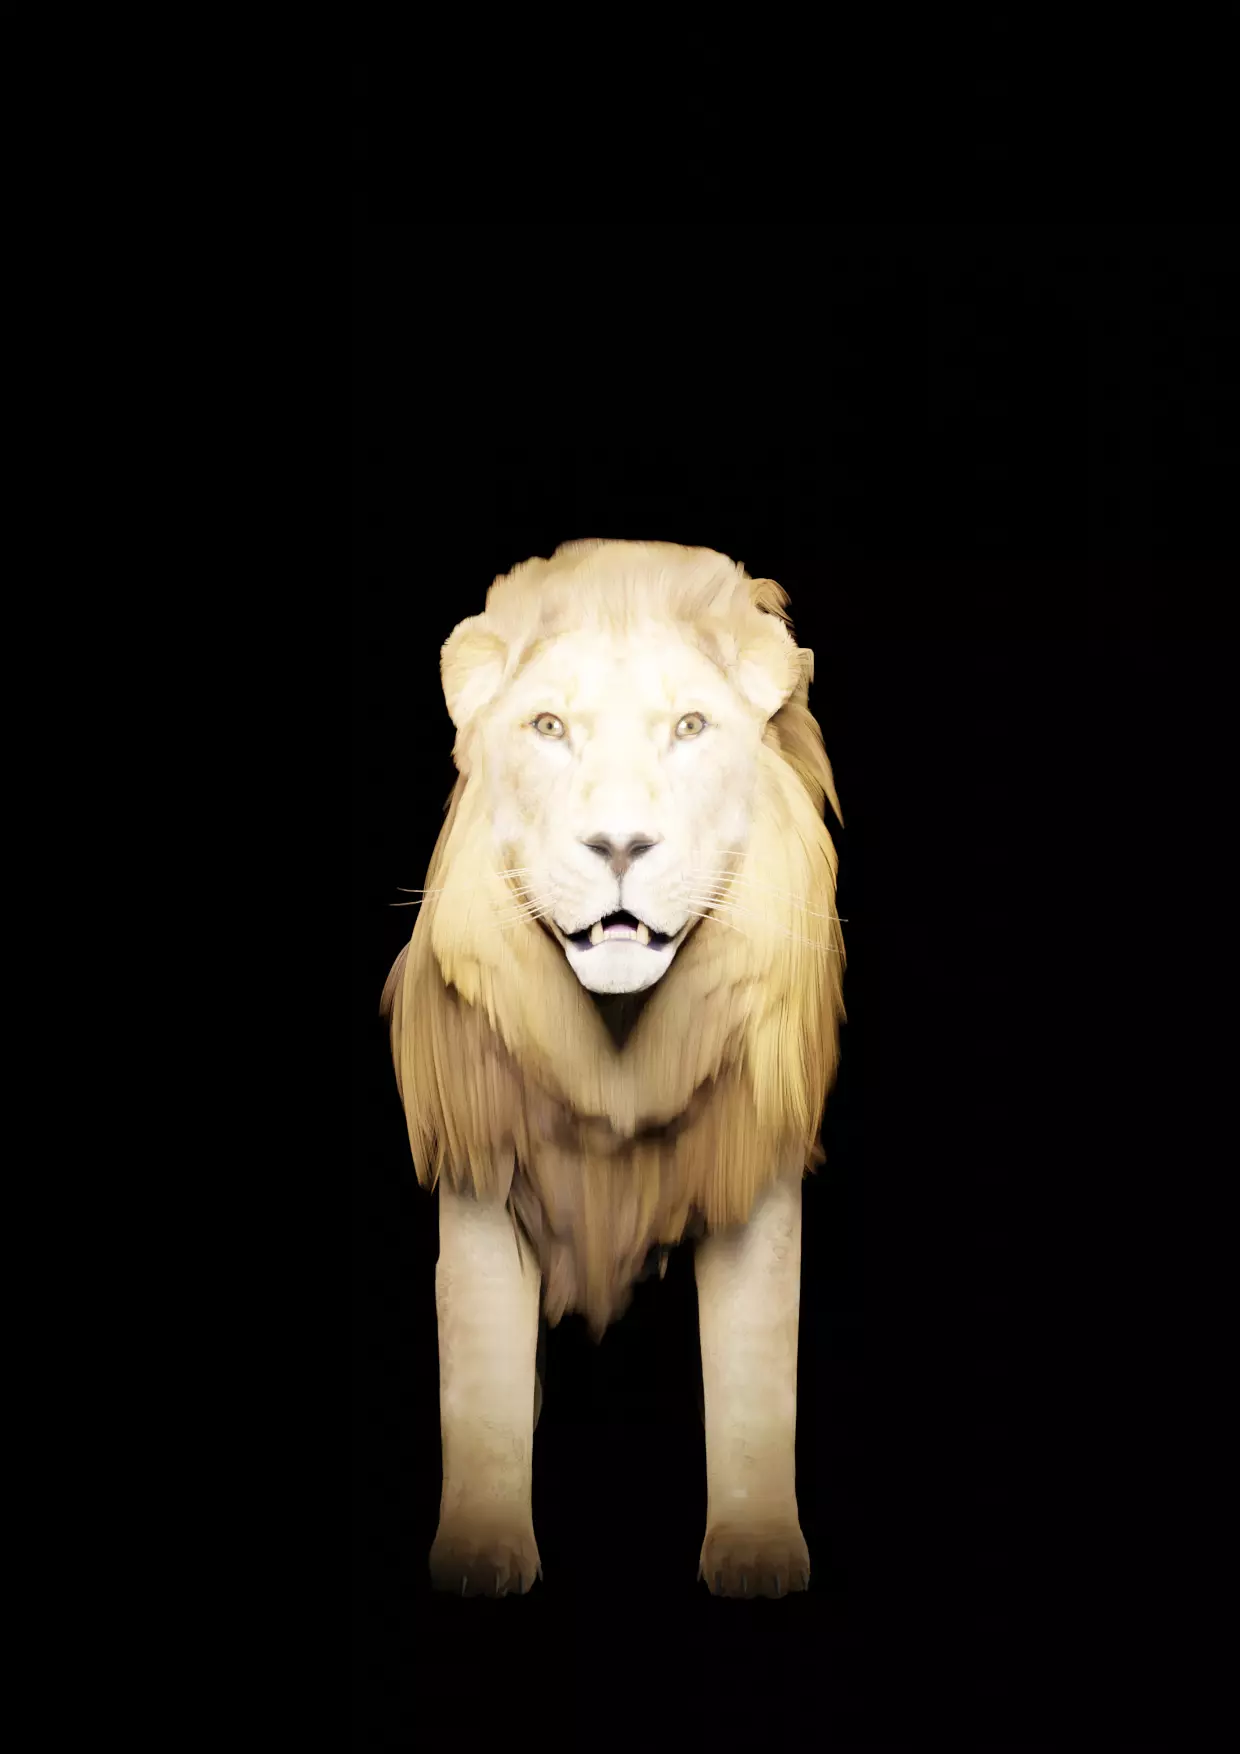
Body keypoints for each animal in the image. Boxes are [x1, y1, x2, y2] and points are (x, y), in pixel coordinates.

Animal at [381, 539, 845, 1598]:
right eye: (549, 728)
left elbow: (758, 1378)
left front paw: (756, 1551)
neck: (621, 1047)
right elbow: (481, 1384)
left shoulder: (753, 1172)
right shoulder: (483, 1167)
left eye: (691, 727)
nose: (621, 845)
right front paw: (480, 1552)